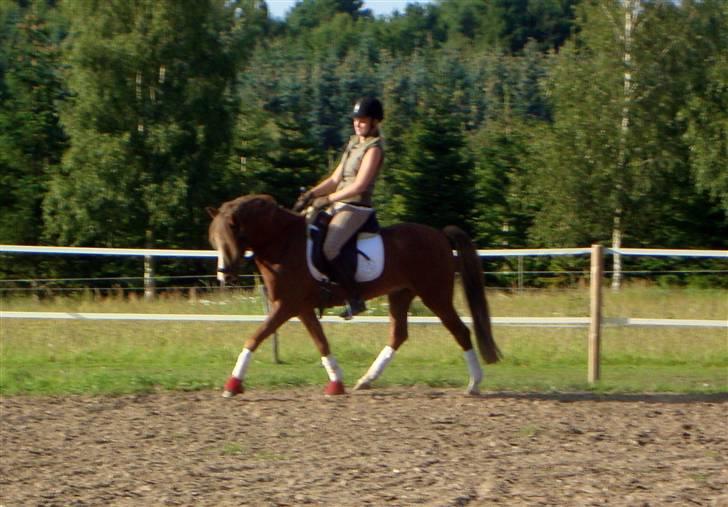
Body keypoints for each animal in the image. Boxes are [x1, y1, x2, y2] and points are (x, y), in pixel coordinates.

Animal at [207, 194, 500, 397]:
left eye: (232, 235)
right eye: (214, 239)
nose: (224, 275)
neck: (284, 243)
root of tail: (439, 234)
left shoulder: (286, 305)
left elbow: (254, 337)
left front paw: (232, 385)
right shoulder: (301, 307)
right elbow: (321, 342)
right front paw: (336, 383)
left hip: (435, 295)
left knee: (460, 331)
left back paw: (474, 384)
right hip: (401, 294)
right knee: (398, 335)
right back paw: (366, 380)